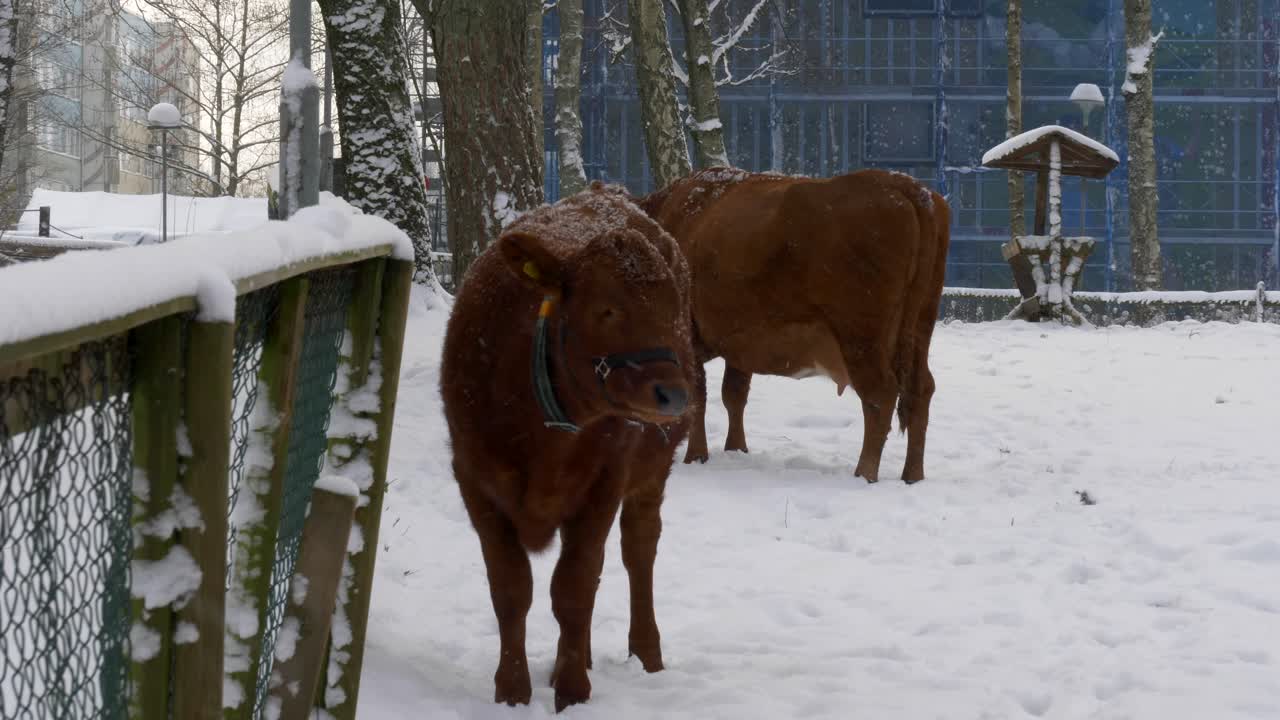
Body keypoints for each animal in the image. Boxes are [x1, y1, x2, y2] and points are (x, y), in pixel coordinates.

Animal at [439, 182, 696, 711]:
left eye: (671, 309)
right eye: (606, 308)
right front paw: (513, 690)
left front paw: (573, 692)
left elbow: (575, 587)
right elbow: (512, 588)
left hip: (652, 472)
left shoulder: (604, 483)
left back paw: (644, 654)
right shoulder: (474, 479)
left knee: (638, 549)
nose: (675, 394)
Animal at [637, 167, 950, 483]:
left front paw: (696, 455)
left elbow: (698, 397)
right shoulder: (739, 343)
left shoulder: (688, 336)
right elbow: (733, 394)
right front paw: (736, 449)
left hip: (861, 340)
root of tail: (902, 184)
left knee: (880, 395)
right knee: (920, 389)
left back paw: (864, 473)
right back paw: (913, 474)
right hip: (919, 330)